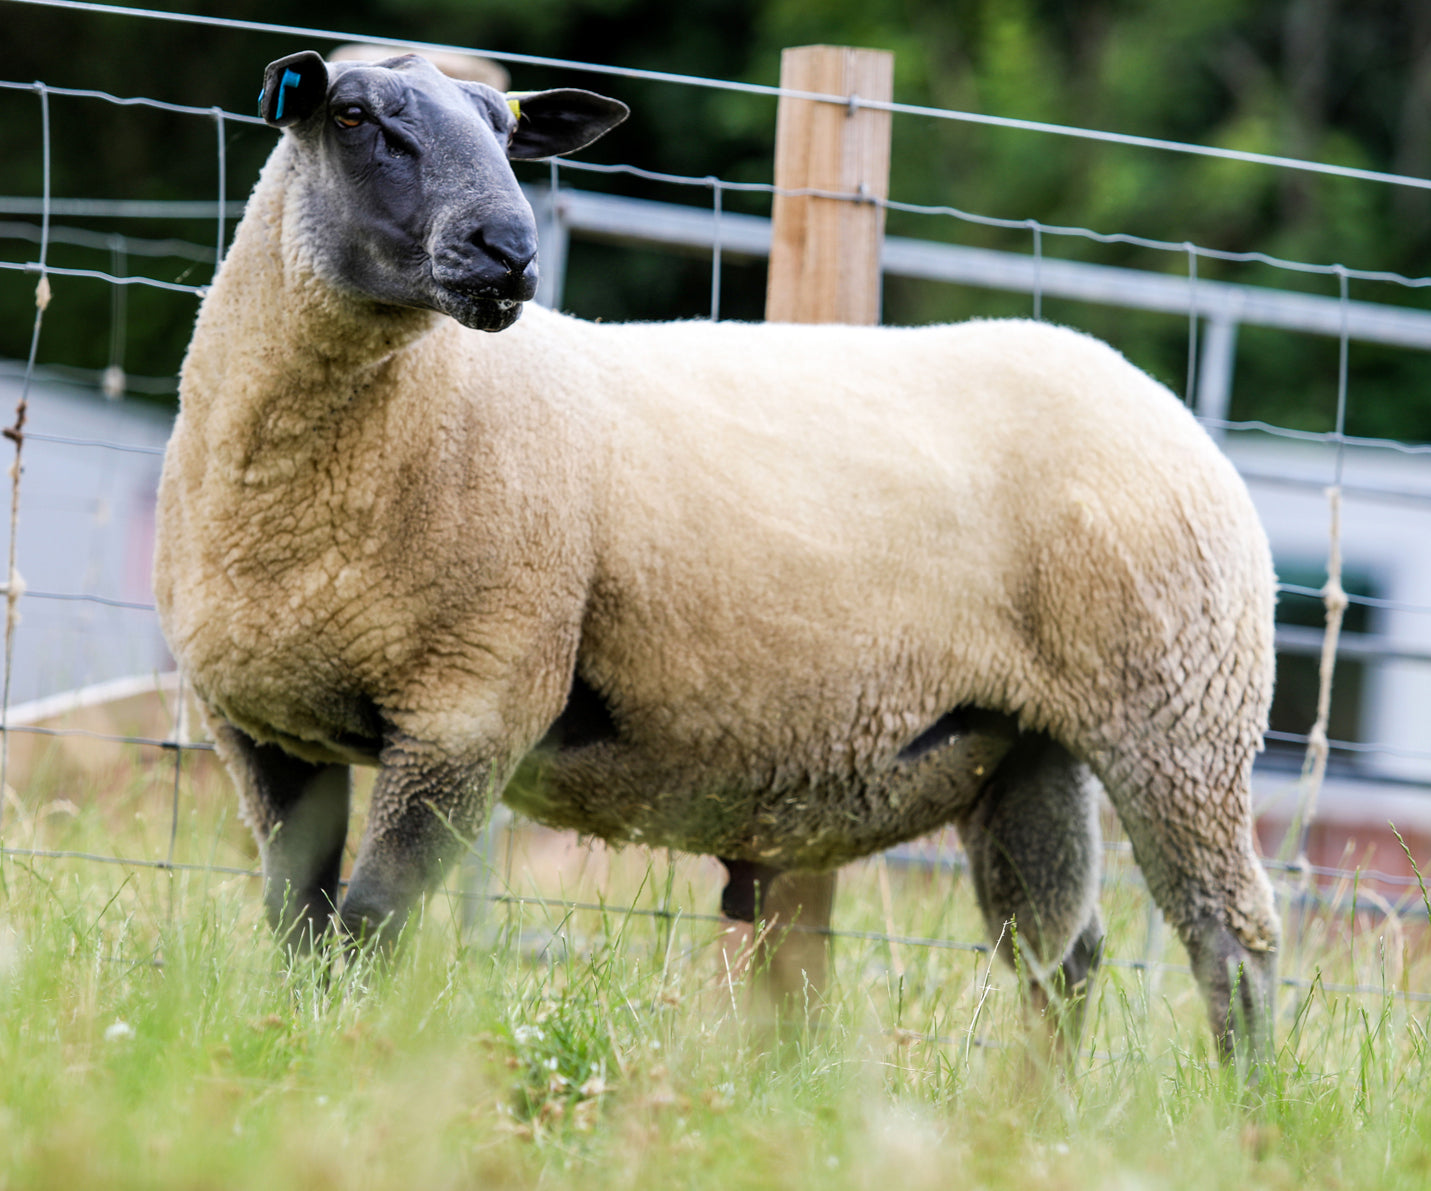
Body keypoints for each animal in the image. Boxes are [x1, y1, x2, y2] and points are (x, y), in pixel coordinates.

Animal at [153, 49, 1281, 1061]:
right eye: (353, 116)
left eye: (508, 133)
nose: (509, 249)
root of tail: (1154, 395)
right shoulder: (261, 723)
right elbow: (299, 927)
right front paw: (291, 1047)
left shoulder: (469, 707)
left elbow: (367, 928)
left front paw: (330, 1061)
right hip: (1028, 744)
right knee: (1063, 957)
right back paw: (1031, 1119)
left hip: (1181, 719)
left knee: (1232, 943)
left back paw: (1242, 1120)